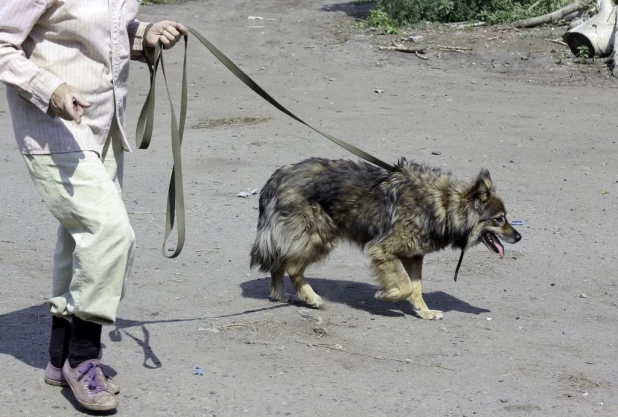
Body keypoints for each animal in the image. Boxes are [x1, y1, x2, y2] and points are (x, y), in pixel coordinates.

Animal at [248, 157, 516, 318]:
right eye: (499, 219)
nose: (519, 236)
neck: (442, 204)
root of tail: (278, 176)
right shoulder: (383, 250)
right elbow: (406, 286)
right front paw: (386, 295)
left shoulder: (414, 255)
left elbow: (416, 287)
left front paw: (424, 312)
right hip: (319, 236)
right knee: (292, 267)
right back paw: (311, 298)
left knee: (279, 262)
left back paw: (280, 294)